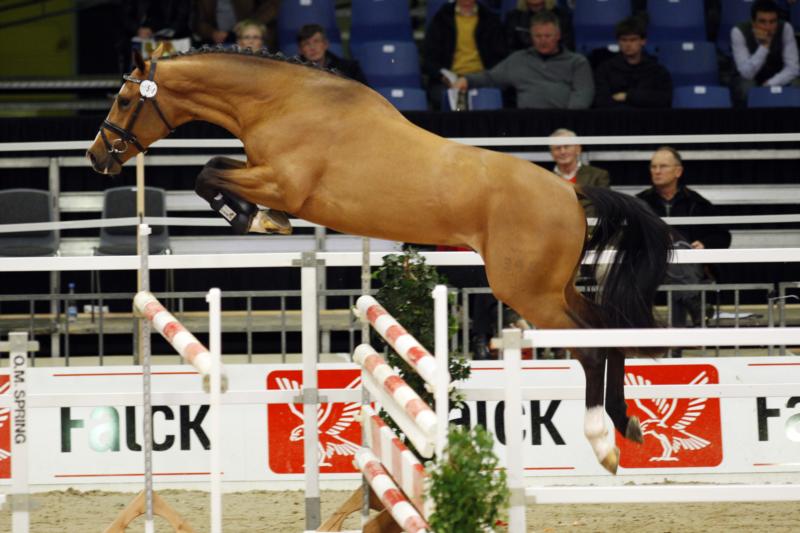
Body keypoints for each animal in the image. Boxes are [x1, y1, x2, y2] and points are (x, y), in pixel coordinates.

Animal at [86, 45, 672, 473]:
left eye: (123, 100)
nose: (96, 158)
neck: (283, 102)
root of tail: (571, 194)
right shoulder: (262, 171)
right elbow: (214, 167)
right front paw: (260, 219)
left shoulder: (281, 182)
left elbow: (207, 172)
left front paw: (255, 219)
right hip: (555, 288)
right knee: (606, 331)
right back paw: (625, 423)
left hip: (528, 293)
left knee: (590, 347)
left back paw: (602, 441)